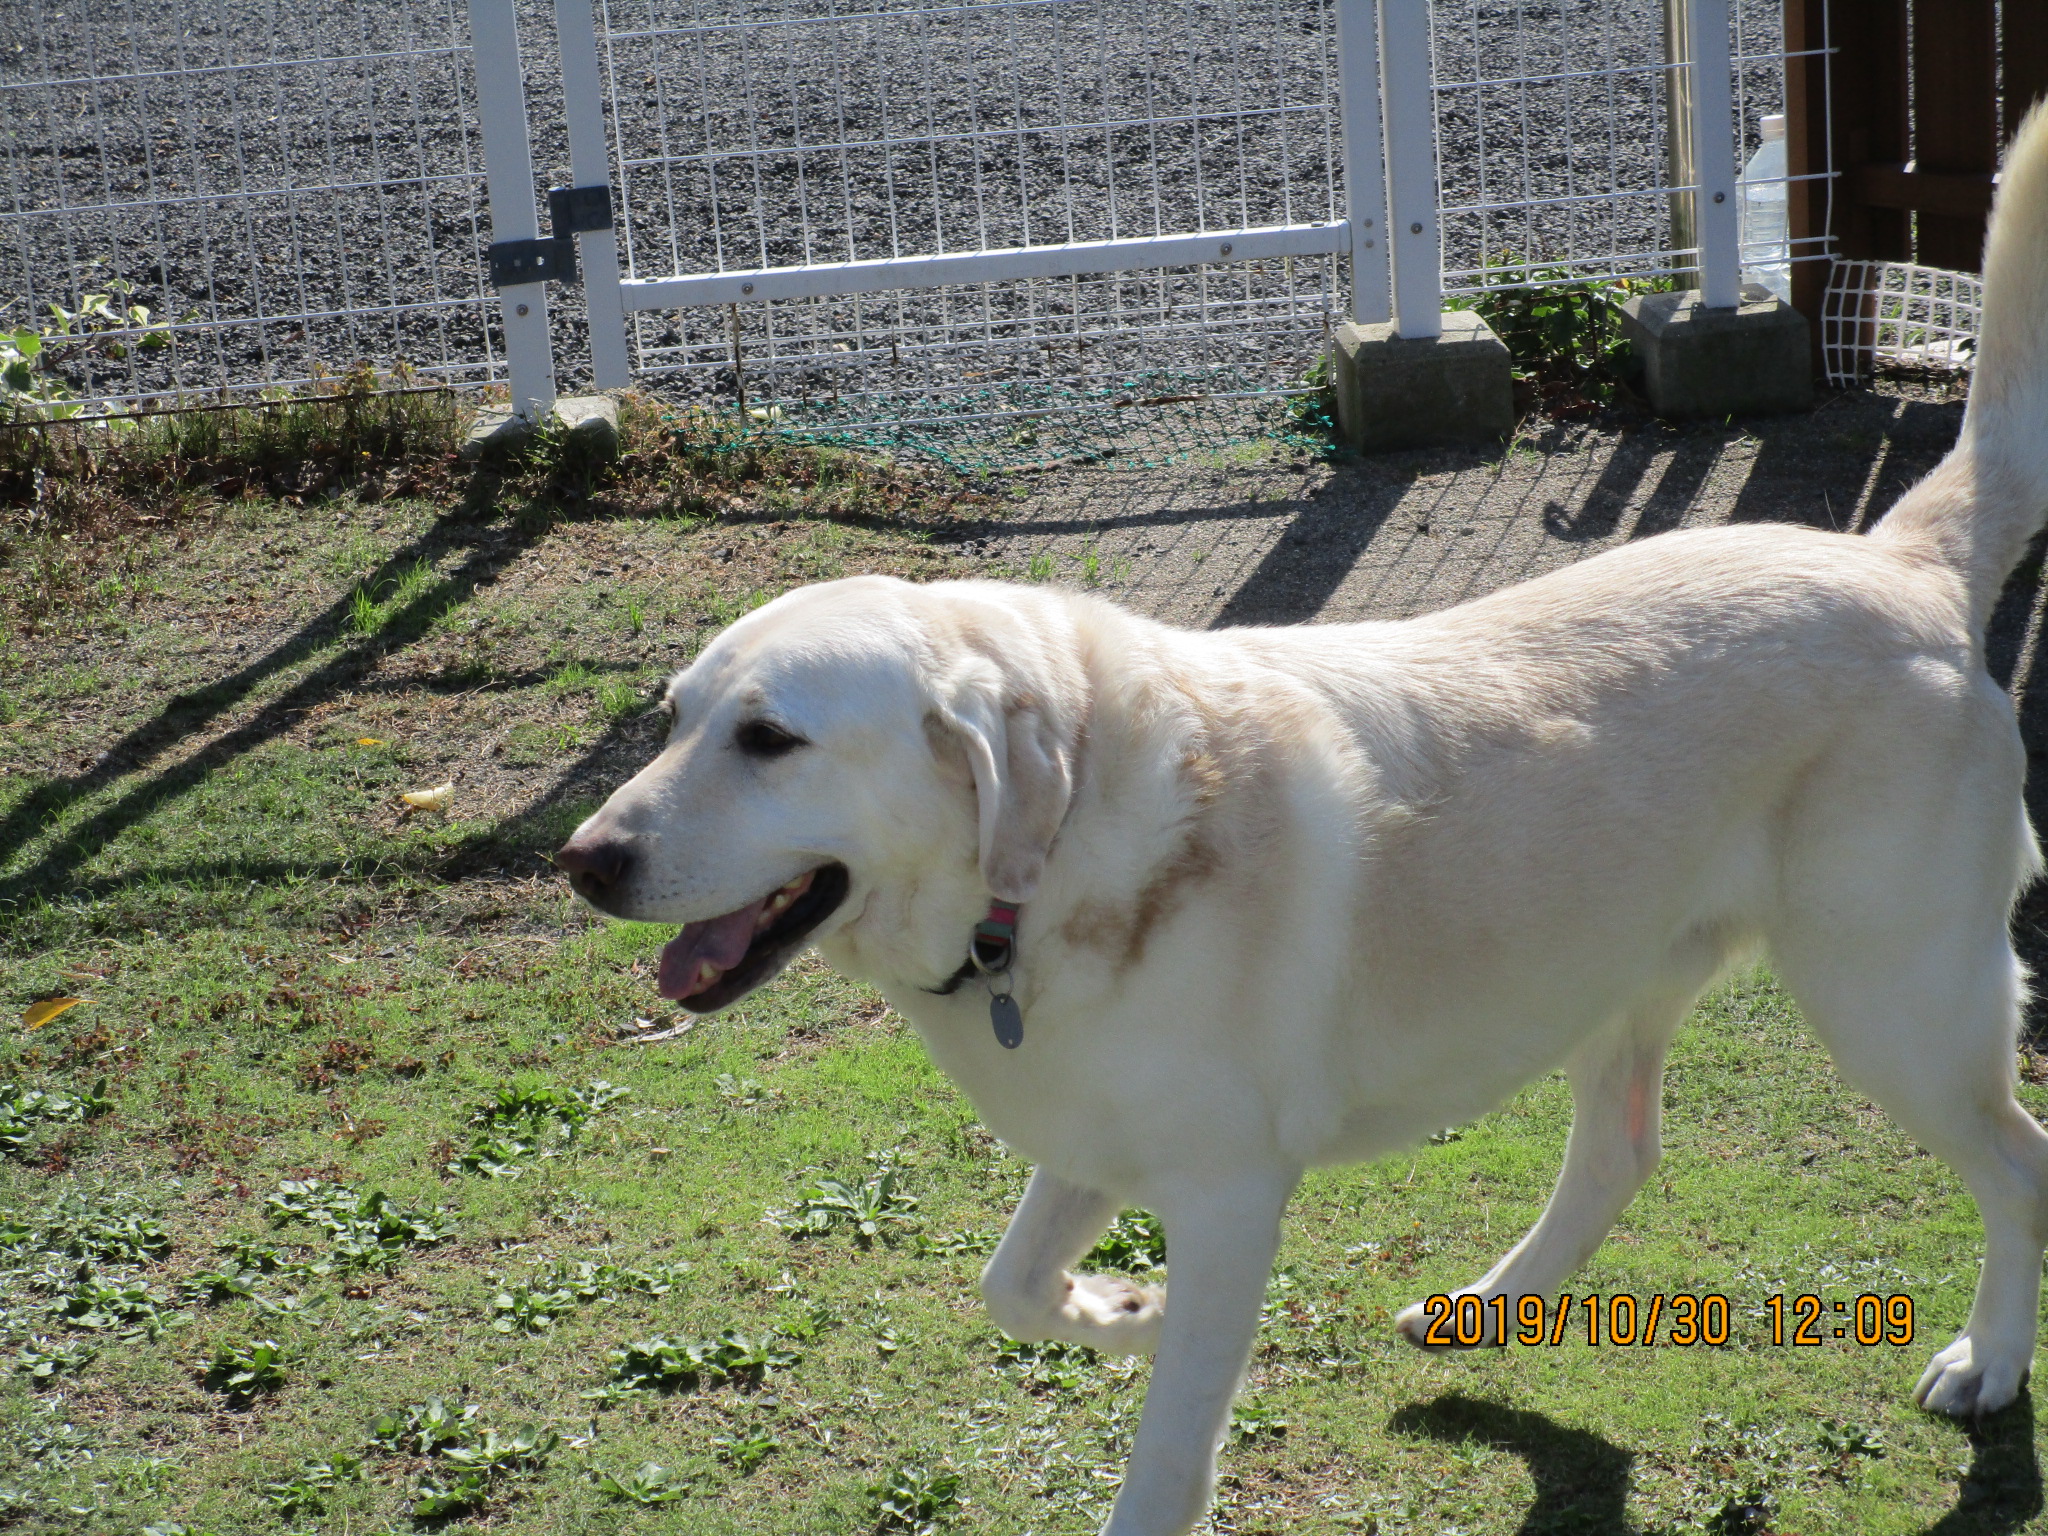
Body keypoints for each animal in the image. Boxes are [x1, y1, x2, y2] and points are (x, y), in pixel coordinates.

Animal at [559, 104, 2048, 1536]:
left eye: (769, 738)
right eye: (673, 716)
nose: (583, 862)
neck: (1056, 864)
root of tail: (1902, 562)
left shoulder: (1228, 1200)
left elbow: (1164, 1464)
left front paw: (1145, 1363)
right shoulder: (1095, 1143)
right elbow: (1010, 1285)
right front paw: (1122, 1312)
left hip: (1892, 1003)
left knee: (2019, 1160)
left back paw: (1987, 1362)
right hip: (1619, 976)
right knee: (1620, 1154)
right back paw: (1486, 1308)